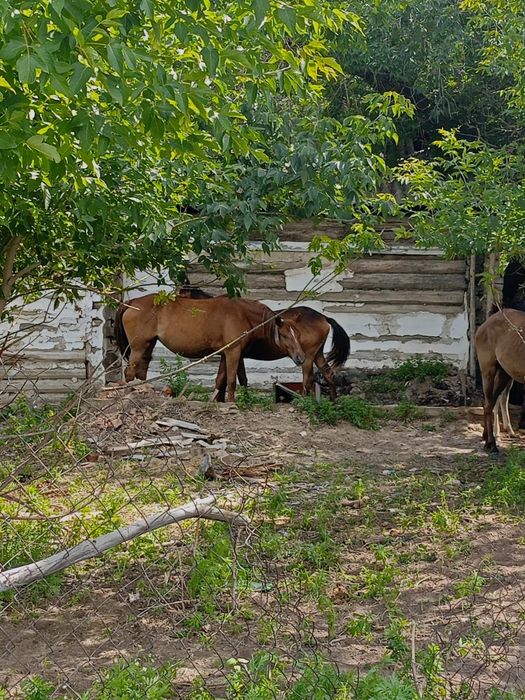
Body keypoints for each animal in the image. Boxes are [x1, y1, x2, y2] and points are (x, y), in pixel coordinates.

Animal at [114, 293, 306, 401]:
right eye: (285, 335)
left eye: (298, 334)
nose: (301, 358)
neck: (242, 314)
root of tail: (132, 302)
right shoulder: (233, 351)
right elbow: (231, 380)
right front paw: (232, 403)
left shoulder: (228, 353)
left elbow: (225, 379)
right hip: (138, 347)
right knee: (130, 372)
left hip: (147, 346)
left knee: (141, 371)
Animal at [178, 287, 350, 400]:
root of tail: (323, 317)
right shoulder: (236, 355)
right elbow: (238, 378)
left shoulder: (234, 353)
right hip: (317, 354)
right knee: (328, 374)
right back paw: (333, 401)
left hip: (308, 356)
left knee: (308, 380)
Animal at [475, 308, 525, 451]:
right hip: (488, 369)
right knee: (489, 403)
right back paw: (491, 443)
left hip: (504, 372)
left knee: (492, 401)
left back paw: (487, 436)